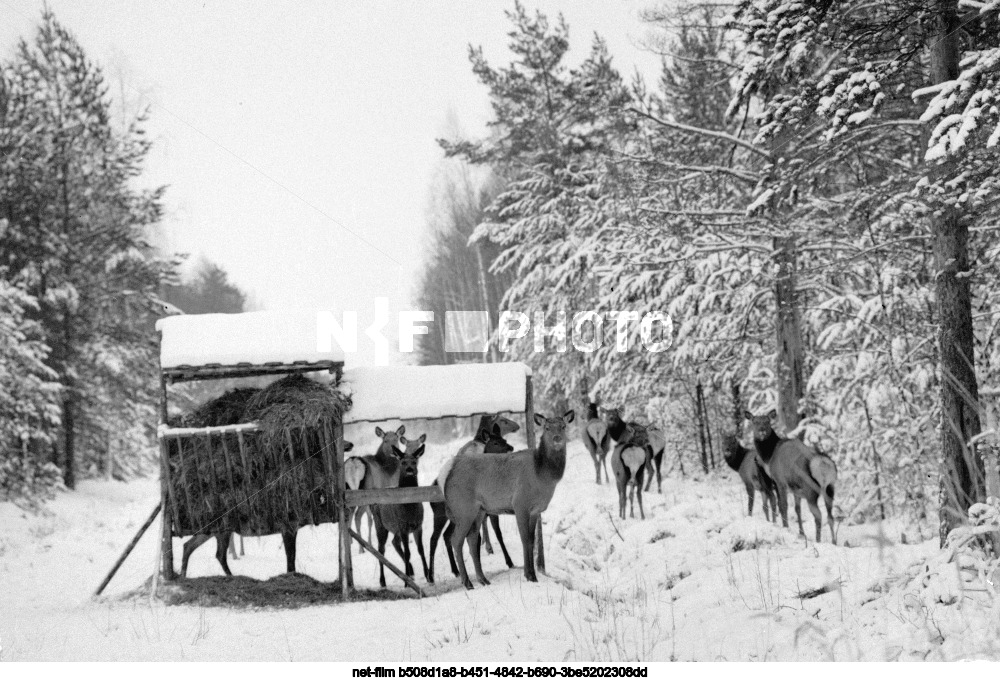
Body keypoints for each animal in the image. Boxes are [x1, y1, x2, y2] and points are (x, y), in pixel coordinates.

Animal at [180, 438, 356, 576]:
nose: (351, 444)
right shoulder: (288, 526)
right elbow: (290, 557)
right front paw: (291, 575)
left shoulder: (292, 527)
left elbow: (291, 556)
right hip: (217, 528)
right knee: (209, 551)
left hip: (219, 531)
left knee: (199, 548)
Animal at [370, 436, 428, 584]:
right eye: (402, 462)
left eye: (414, 461)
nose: (409, 470)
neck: (409, 508)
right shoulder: (403, 526)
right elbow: (408, 552)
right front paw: (407, 584)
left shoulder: (418, 525)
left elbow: (421, 550)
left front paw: (429, 576)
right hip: (380, 525)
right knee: (381, 550)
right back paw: (383, 581)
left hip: (395, 528)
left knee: (395, 542)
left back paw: (410, 572)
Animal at [428, 412, 520, 580]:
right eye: (503, 420)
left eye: (504, 440)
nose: (511, 447)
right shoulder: (490, 512)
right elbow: (497, 534)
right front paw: (508, 561)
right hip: (441, 516)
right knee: (435, 539)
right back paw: (431, 576)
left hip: (454, 518)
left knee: (447, 536)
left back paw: (456, 570)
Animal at [442, 410, 576, 588]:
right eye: (547, 428)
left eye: (563, 426)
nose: (557, 438)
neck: (542, 474)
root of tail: (446, 478)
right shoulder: (520, 504)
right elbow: (524, 539)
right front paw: (530, 575)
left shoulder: (535, 510)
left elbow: (532, 540)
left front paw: (531, 574)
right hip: (463, 508)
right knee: (456, 539)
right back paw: (467, 582)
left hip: (479, 510)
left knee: (472, 539)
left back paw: (483, 579)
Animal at [744, 410, 836, 540]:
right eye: (754, 421)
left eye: (767, 421)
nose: (762, 430)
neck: (769, 457)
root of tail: (823, 466)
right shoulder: (796, 490)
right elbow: (797, 509)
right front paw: (801, 533)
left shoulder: (780, 481)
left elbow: (783, 506)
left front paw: (785, 527)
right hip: (830, 489)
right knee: (830, 517)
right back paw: (834, 541)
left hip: (810, 490)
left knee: (818, 515)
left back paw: (818, 540)